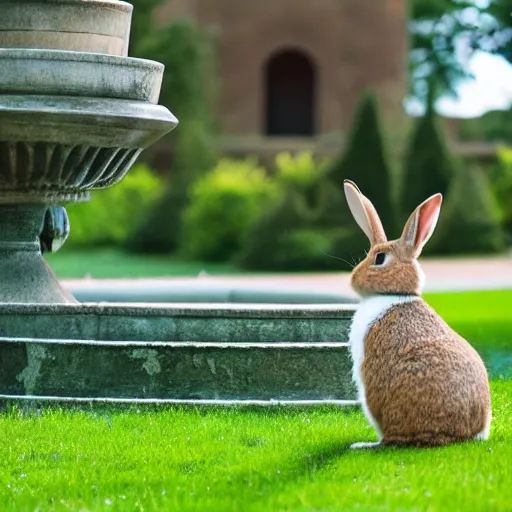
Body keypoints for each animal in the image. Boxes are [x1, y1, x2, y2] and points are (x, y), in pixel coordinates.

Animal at [342, 179, 490, 448]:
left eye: (379, 258)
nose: (353, 279)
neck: (394, 294)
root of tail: (460, 435)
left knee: (391, 439)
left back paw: (365, 445)